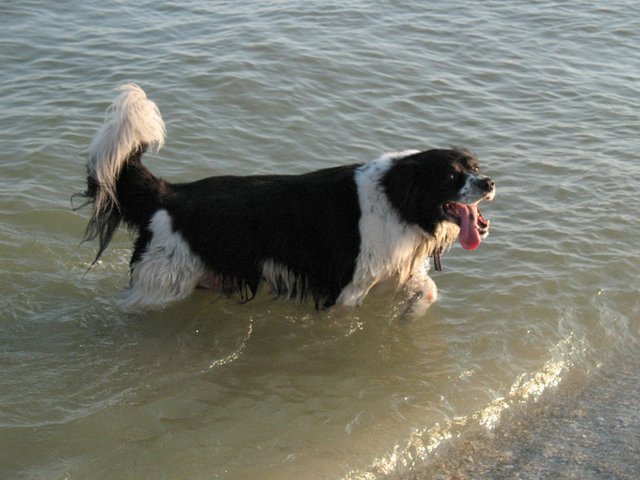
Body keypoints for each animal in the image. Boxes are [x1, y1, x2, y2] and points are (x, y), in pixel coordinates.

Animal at [76, 84, 496, 316]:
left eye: (475, 167)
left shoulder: (391, 271)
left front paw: (408, 317)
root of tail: (167, 193)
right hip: (162, 285)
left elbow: (428, 290)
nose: (489, 182)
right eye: (451, 176)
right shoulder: (344, 290)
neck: (398, 197)